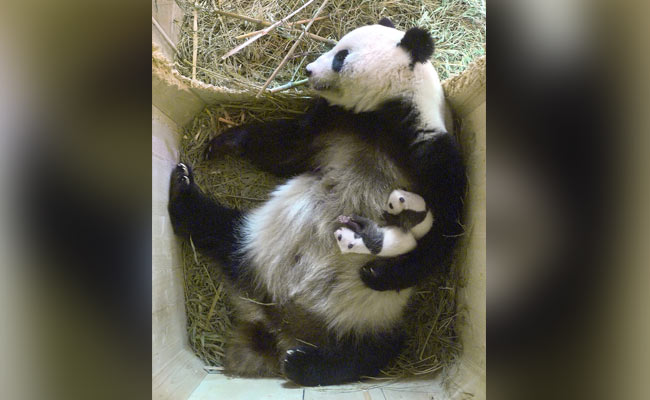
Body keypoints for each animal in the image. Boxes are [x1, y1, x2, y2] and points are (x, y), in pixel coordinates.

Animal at [166, 17, 460, 386]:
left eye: (341, 56)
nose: (307, 70)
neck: (385, 113)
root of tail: (276, 319)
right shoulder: (334, 122)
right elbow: (286, 147)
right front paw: (225, 141)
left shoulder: (429, 149)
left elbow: (445, 229)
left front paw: (379, 274)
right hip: (254, 242)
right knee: (214, 225)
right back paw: (183, 188)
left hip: (367, 318)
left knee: (375, 353)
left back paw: (304, 363)